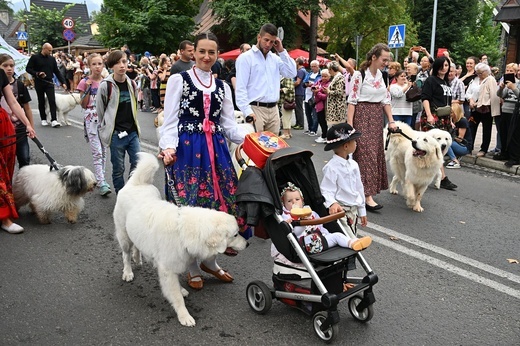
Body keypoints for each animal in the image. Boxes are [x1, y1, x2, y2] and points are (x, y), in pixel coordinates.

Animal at [114, 153, 248, 328]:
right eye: (235, 235)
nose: (247, 243)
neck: (186, 232)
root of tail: (137, 183)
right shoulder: (168, 269)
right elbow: (176, 296)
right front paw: (184, 315)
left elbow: (177, 287)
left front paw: (182, 291)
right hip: (123, 235)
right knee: (126, 254)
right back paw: (128, 271)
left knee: (136, 246)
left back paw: (138, 258)